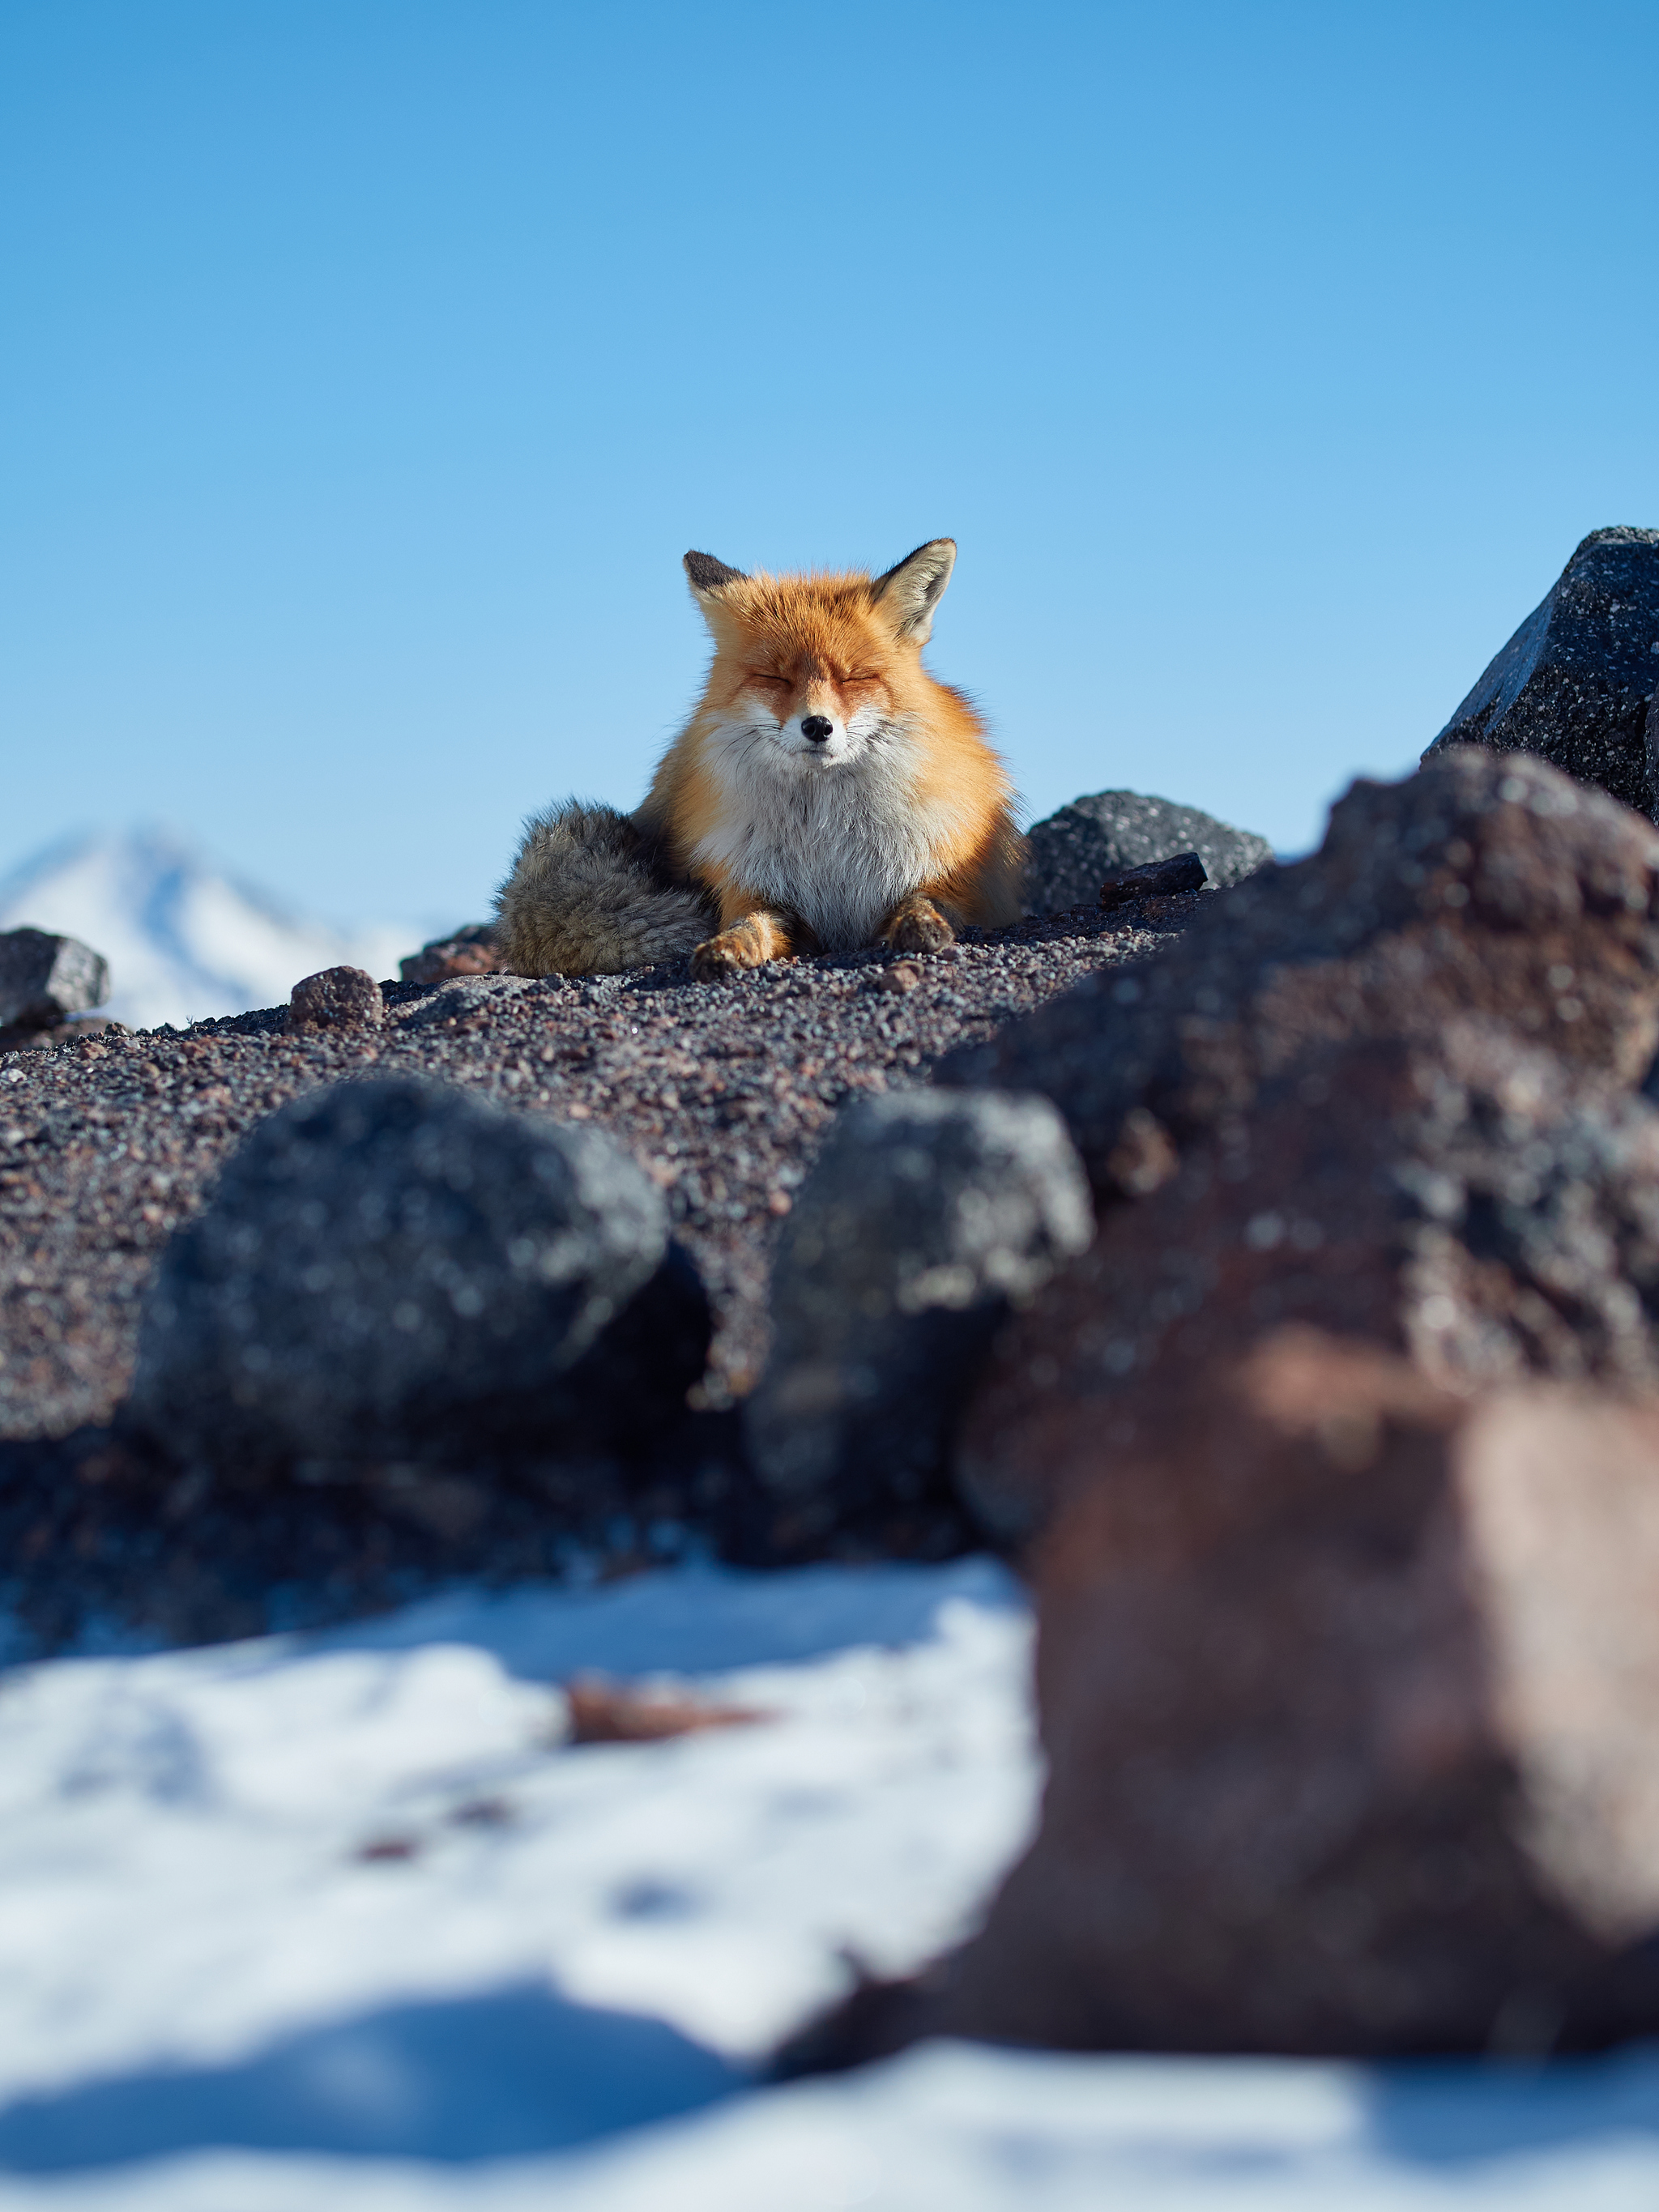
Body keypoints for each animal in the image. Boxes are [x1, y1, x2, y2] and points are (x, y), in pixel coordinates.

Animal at [493, 539, 1026, 982]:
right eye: (775, 677)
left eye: (854, 678)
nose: (818, 726)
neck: (826, 842)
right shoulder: (758, 892)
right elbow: (748, 925)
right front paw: (725, 948)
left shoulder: (947, 881)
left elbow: (925, 905)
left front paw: (922, 927)